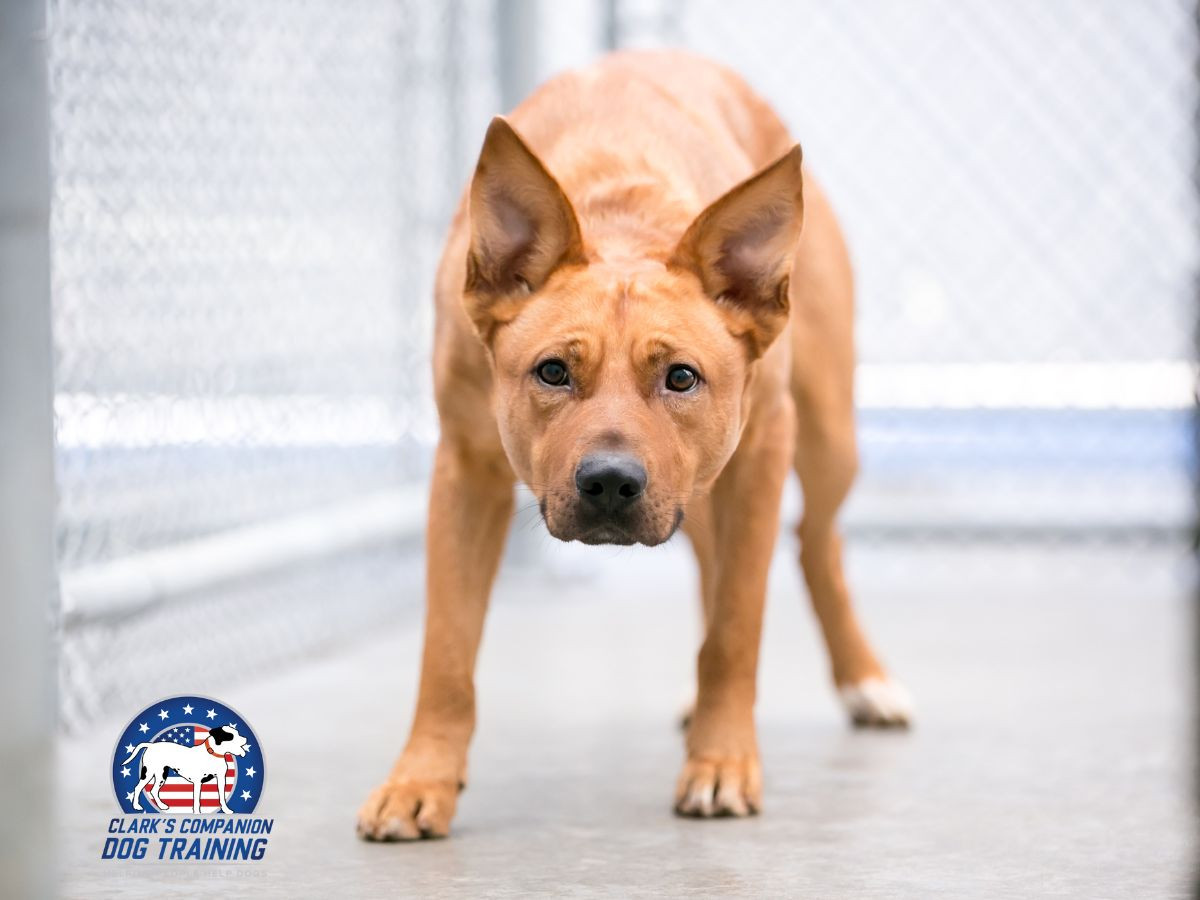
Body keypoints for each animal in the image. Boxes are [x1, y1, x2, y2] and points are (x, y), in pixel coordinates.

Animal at [357, 49, 911, 841]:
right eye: (552, 371)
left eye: (681, 377)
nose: (611, 483)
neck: (620, 218)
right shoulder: (464, 469)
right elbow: (447, 651)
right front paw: (420, 779)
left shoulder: (764, 450)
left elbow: (738, 626)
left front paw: (722, 762)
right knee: (721, 561)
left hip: (829, 438)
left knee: (815, 545)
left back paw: (864, 681)